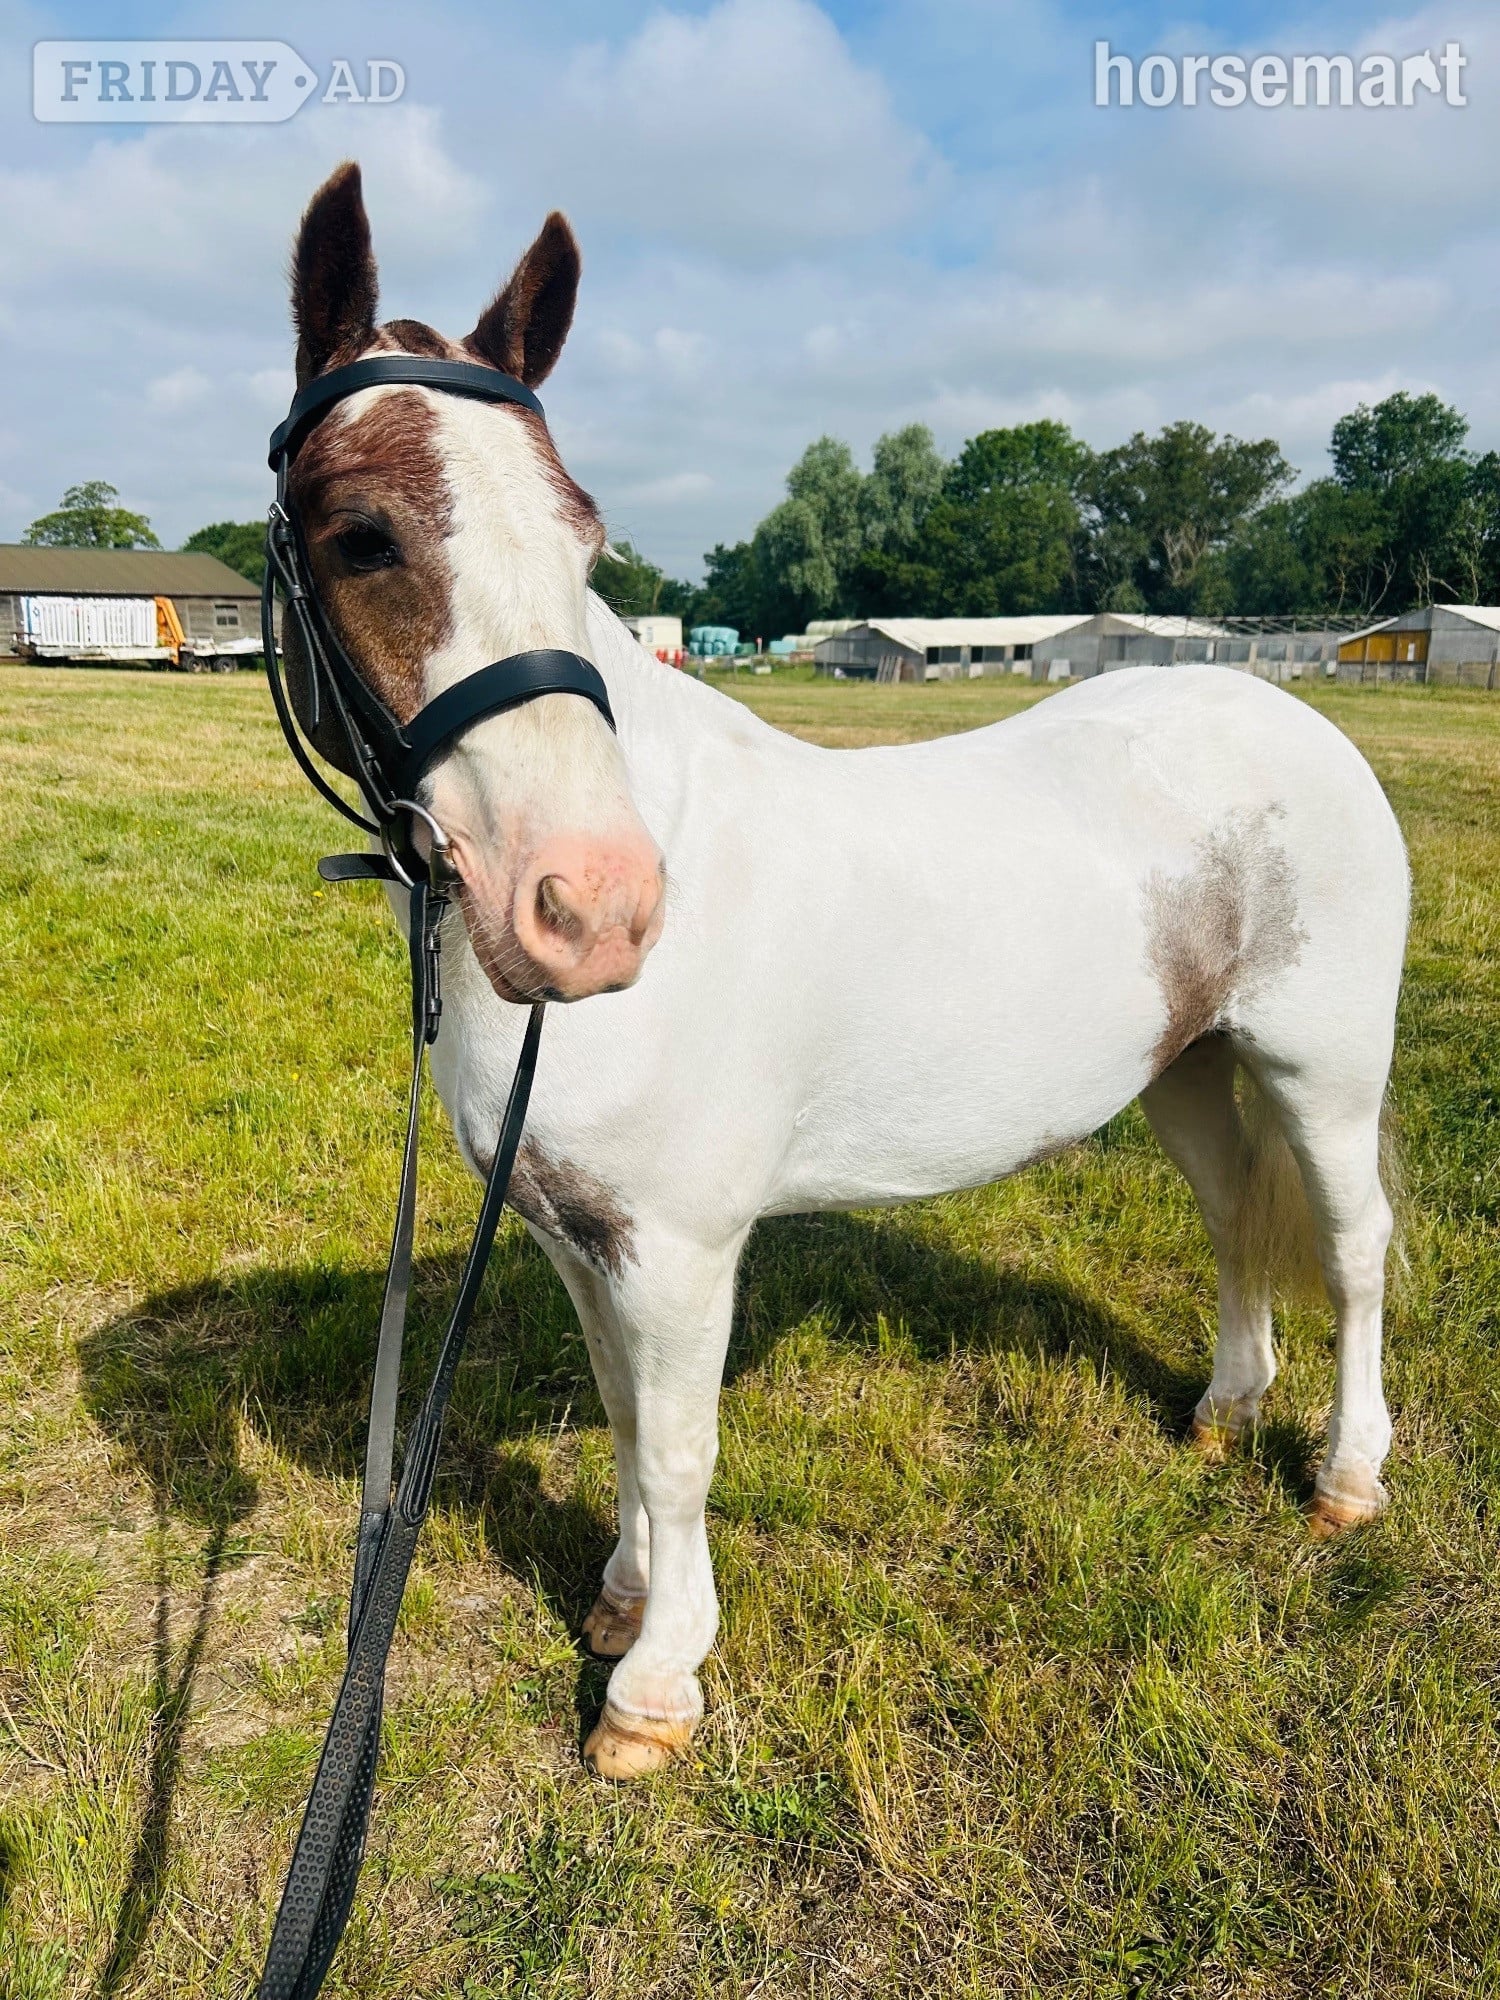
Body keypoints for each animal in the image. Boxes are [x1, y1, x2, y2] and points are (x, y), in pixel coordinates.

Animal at [278, 162, 1409, 1780]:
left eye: (584, 540)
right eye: (362, 535)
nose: (591, 908)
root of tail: (1291, 718)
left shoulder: (681, 1245)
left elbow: (680, 1446)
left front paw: (655, 1686)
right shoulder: (578, 1235)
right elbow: (623, 1416)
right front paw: (621, 1600)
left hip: (1324, 1067)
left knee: (1355, 1244)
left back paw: (1345, 1477)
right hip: (1189, 1068)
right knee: (1233, 1218)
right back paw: (1221, 1412)